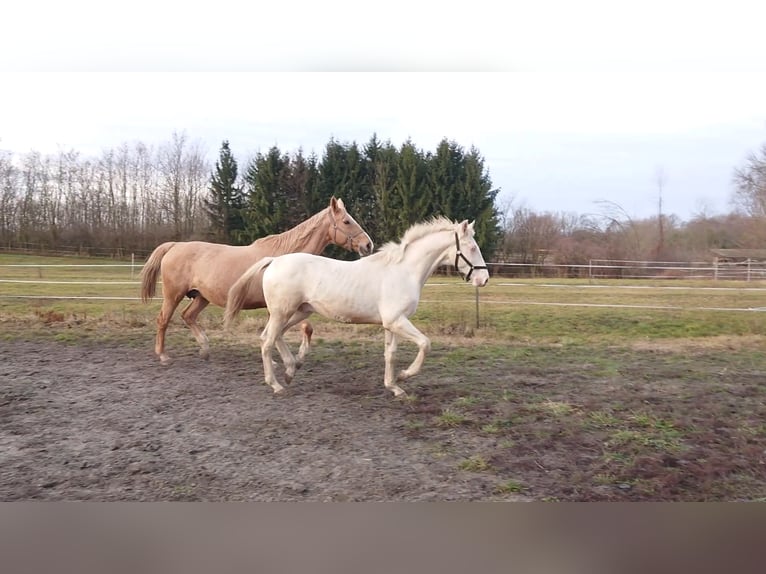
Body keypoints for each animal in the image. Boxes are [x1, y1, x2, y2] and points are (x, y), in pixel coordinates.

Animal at [142, 196, 376, 362]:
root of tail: (174, 245)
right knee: (163, 320)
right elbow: (294, 330)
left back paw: (205, 350)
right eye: (346, 221)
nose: (368, 245)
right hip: (173, 295)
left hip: (201, 297)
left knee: (188, 316)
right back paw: (163, 355)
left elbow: (300, 329)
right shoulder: (282, 307)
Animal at [225, 218, 492, 398]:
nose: (484, 279)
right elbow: (425, 344)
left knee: (272, 336)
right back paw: (277, 385)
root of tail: (274, 261)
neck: (403, 271)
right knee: (268, 341)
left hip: (298, 311)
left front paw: (394, 387)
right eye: (472, 248)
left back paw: (290, 371)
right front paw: (404, 375)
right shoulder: (396, 321)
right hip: (283, 312)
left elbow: (390, 354)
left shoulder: (391, 324)